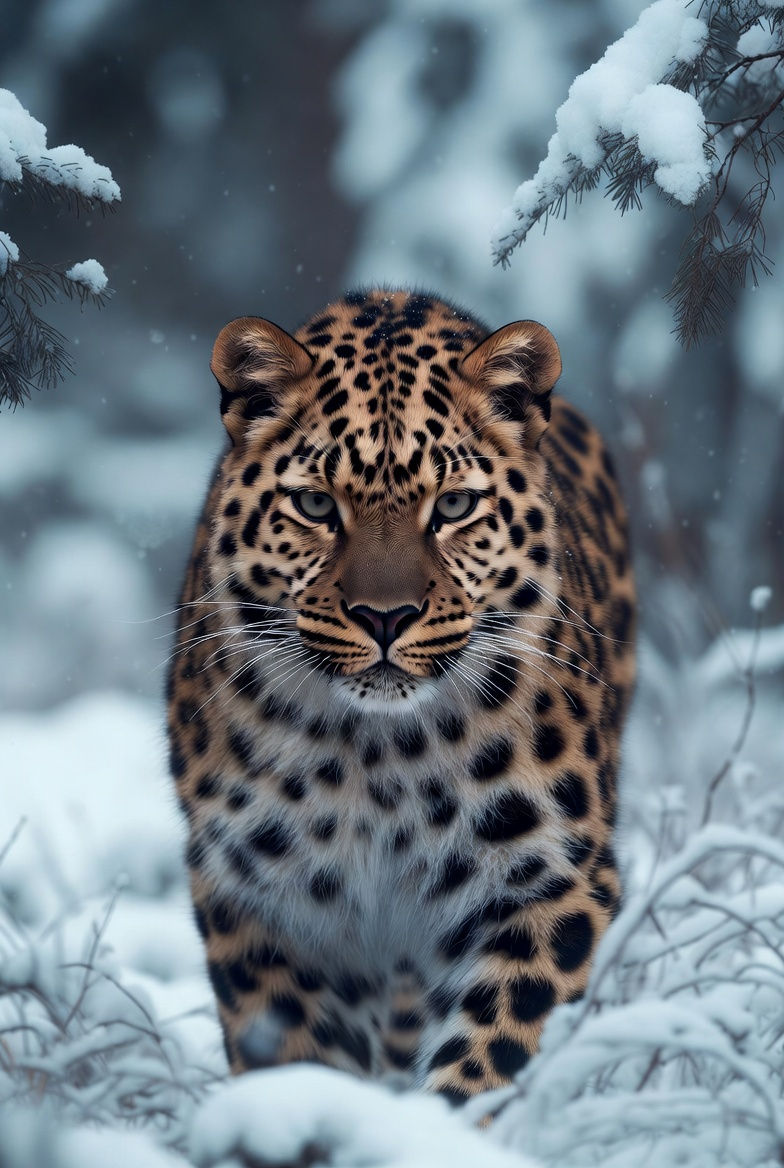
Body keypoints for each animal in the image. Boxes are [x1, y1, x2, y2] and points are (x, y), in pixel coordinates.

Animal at [167, 288, 636, 1105]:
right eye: (316, 506)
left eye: (452, 508)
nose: (385, 617)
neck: (381, 755)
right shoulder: (261, 897)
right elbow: (298, 1056)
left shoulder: (553, 879)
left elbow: (497, 1053)